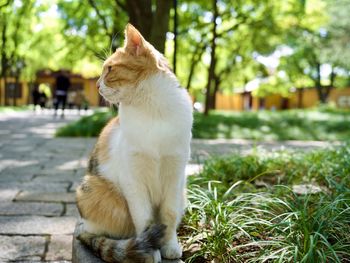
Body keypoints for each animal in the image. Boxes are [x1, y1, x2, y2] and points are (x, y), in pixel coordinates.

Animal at [75, 23, 193, 263]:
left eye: (110, 69)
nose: (97, 85)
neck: (151, 109)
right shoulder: (134, 179)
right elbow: (143, 218)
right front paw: (150, 251)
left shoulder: (175, 174)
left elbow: (169, 215)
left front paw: (170, 246)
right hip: (90, 189)